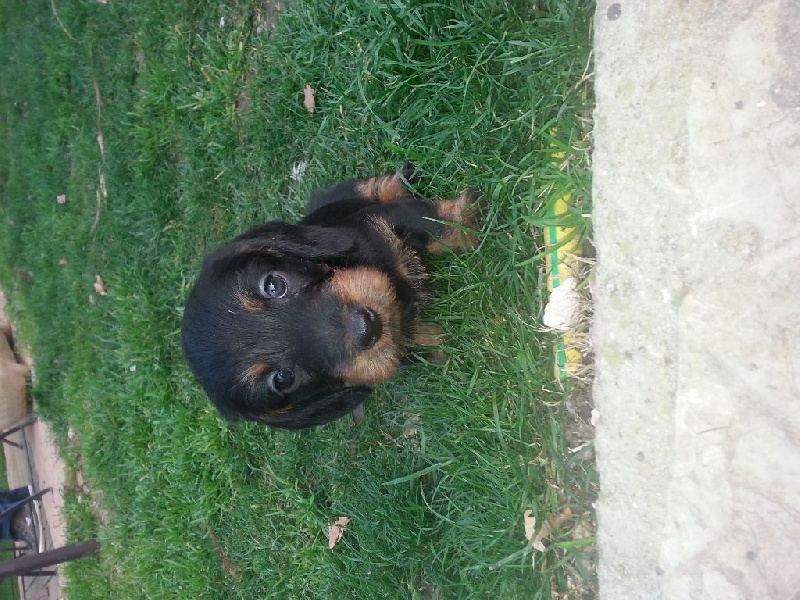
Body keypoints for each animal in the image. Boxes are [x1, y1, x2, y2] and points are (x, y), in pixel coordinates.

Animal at [181, 164, 480, 429]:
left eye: (274, 285)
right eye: (282, 379)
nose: (368, 326)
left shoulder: (376, 222)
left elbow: (435, 224)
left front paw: (472, 220)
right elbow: (410, 343)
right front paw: (442, 345)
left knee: (371, 187)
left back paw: (398, 179)